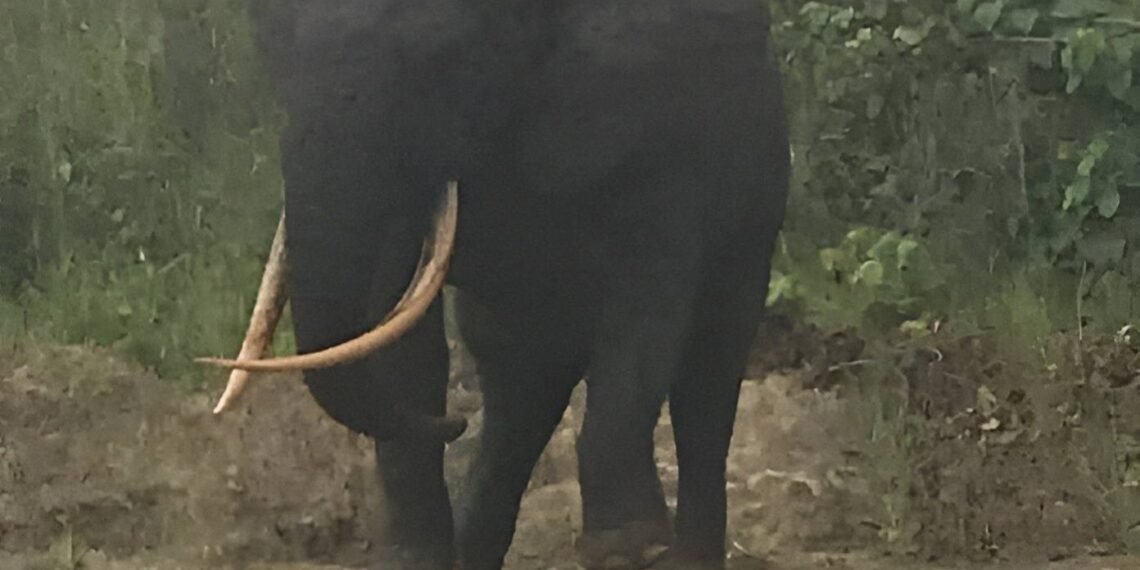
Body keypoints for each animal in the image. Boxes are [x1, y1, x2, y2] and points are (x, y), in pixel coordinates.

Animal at [204, 0, 790, 568]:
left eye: (445, 58)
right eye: (272, 46)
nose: (454, 421)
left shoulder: (659, 141)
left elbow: (645, 315)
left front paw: (628, 548)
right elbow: (395, 324)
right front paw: (416, 555)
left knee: (707, 372)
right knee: (519, 385)